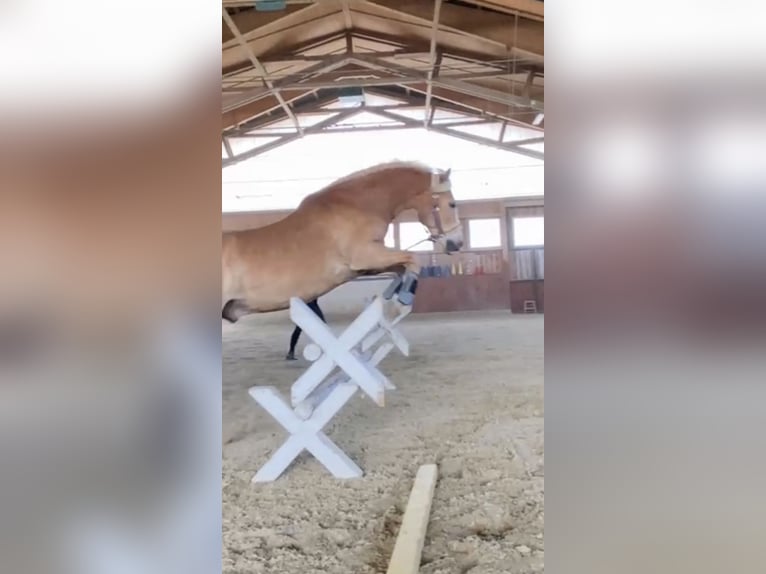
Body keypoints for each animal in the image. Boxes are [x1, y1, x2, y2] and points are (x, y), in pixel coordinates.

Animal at [219, 162, 464, 324]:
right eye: (452, 204)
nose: (457, 243)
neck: (359, 206)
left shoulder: (367, 265)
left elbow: (402, 268)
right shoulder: (365, 255)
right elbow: (413, 259)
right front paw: (399, 304)